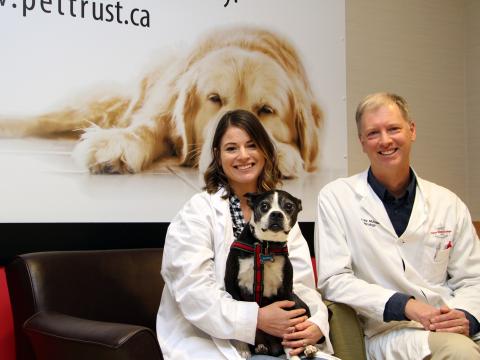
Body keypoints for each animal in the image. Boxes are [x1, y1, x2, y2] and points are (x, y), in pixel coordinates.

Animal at [225, 190, 318, 358]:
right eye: (264, 206)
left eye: (289, 206)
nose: (276, 214)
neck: (265, 247)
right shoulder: (232, 287)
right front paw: (242, 349)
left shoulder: (286, 292)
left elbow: (289, 331)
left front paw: (293, 356)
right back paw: (261, 347)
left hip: (298, 303)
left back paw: (308, 347)